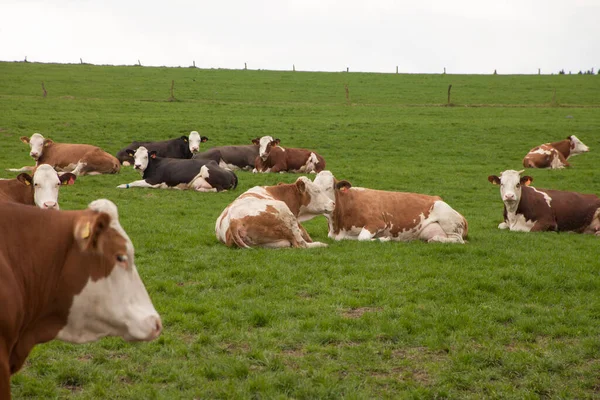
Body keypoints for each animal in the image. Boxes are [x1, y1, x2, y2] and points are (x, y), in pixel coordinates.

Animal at [312, 170, 472, 242]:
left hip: (449, 223)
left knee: (457, 240)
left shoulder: (377, 223)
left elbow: (362, 237)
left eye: (329, 187)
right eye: (314, 188)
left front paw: (384, 239)